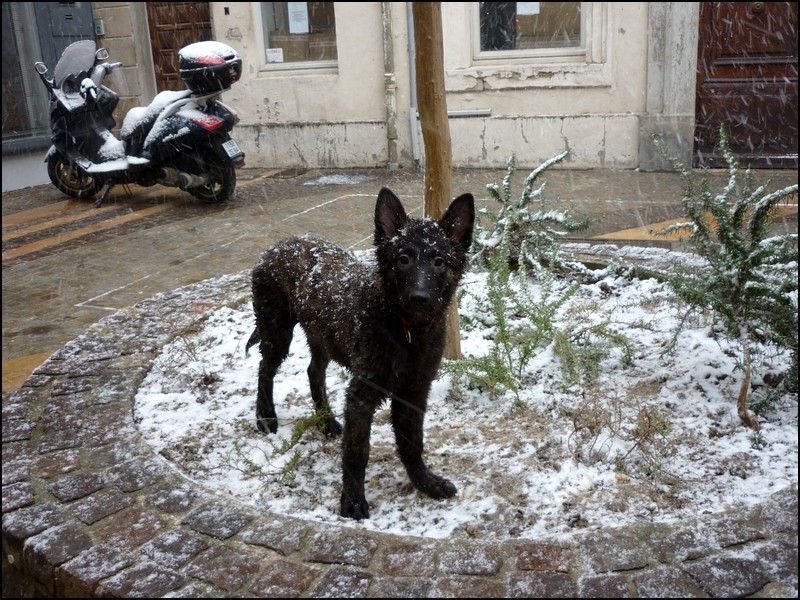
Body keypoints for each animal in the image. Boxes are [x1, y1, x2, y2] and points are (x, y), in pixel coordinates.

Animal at [248, 185, 476, 516]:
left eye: (439, 262)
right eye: (403, 259)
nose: (419, 298)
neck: (405, 330)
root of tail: (279, 245)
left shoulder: (414, 390)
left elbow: (412, 442)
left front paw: (425, 482)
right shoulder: (362, 393)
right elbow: (357, 452)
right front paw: (353, 501)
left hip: (322, 335)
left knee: (313, 371)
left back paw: (326, 421)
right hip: (277, 329)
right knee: (265, 368)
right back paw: (265, 416)